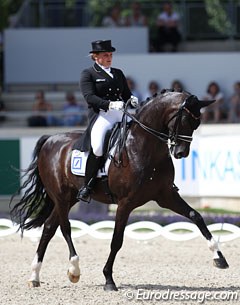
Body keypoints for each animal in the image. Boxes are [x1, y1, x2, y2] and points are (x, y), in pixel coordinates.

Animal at [10, 89, 229, 290]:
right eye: (184, 120)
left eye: (197, 124)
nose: (181, 153)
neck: (144, 146)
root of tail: (50, 139)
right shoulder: (126, 203)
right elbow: (116, 240)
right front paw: (108, 280)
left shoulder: (166, 195)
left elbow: (196, 216)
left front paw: (219, 258)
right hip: (62, 196)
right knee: (65, 228)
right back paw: (74, 270)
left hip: (70, 197)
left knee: (49, 227)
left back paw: (34, 276)